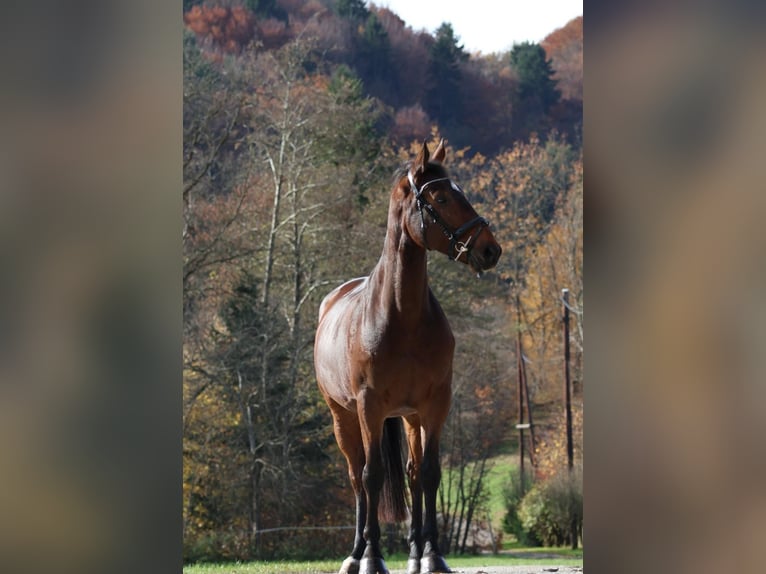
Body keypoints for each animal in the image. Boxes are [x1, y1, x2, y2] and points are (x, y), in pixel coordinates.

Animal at [314, 140, 501, 574]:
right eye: (441, 197)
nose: (490, 249)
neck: (402, 315)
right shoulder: (368, 407)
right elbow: (372, 476)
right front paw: (372, 557)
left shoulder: (434, 404)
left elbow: (429, 475)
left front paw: (432, 553)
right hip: (343, 416)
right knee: (356, 477)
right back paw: (355, 553)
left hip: (410, 417)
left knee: (414, 474)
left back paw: (415, 552)